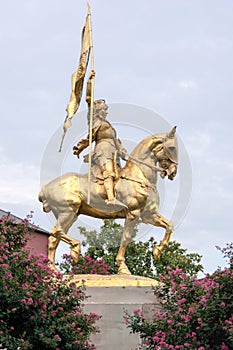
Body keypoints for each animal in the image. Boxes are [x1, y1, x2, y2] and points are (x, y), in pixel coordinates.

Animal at [38, 126, 177, 274]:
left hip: (71, 215)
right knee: (56, 231)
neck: (139, 177)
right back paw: (75, 250)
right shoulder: (133, 213)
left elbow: (169, 225)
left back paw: (53, 270)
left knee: (54, 238)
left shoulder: (148, 215)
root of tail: (45, 188)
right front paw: (123, 267)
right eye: (172, 148)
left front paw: (157, 251)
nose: (173, 172)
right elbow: (126, 238)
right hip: (67, 212)